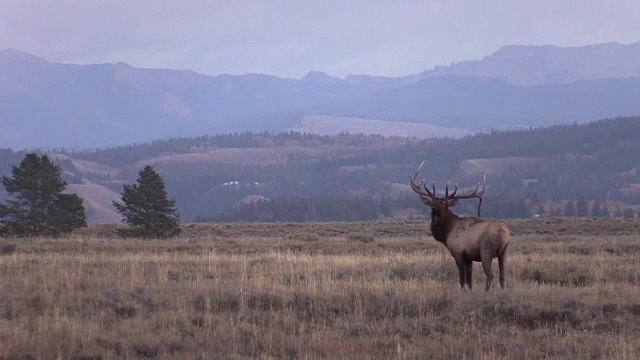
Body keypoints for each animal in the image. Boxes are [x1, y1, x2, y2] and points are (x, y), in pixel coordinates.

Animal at [410, 162, 510, 292]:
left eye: (445, 204)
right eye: (434, 202)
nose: (437, 206)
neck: (446, 233)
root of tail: (503, 232)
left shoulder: (458, 253)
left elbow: (461, 278)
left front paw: (461, 291)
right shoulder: (469, 257)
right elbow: (469, 279)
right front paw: (470, 291)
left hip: (486, 251)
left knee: (490, 275)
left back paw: (487, 291)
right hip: (504, 251)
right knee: (502, 275)